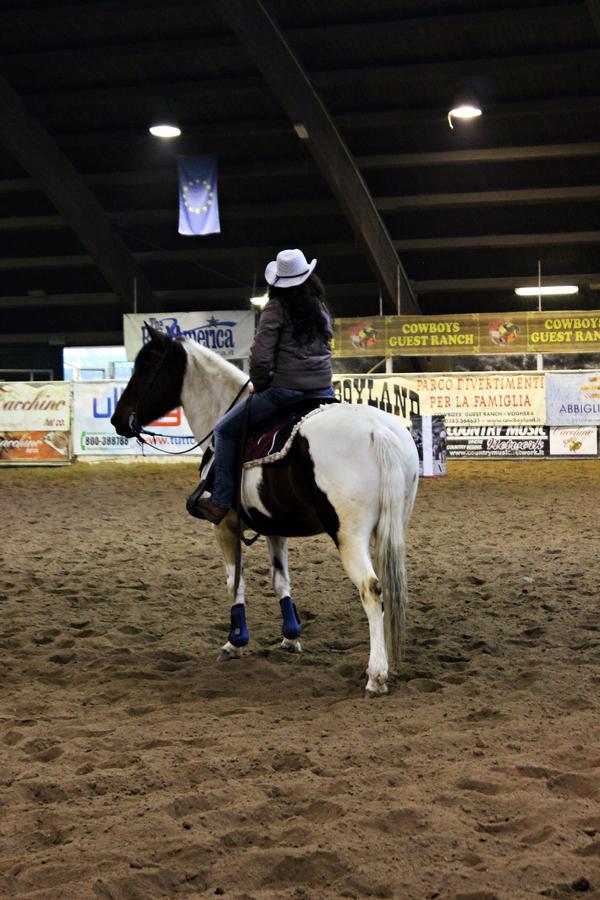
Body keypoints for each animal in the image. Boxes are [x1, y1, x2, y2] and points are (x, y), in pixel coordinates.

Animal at [112, 326, 420, 696]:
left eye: (145, 367)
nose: (117, 419)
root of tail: (378, 431)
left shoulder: (224, 525)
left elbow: (234, 581)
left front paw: (235, 641)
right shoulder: (275, 528)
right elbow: (280, 580)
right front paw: (290, 638)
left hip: (349, 535)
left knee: (371, 590)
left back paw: (376, 676)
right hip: (392, 528)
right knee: (389, 587)